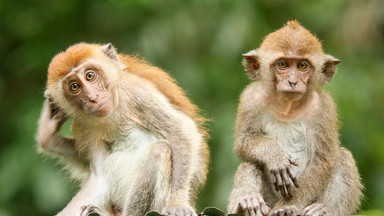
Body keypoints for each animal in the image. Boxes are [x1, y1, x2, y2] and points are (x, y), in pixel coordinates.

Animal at [35, 43, 208, 215]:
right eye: (74, 86)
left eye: (90, 76)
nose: (92, 97)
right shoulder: (86, 127)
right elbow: (98, 176)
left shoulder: (137, 92)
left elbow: (180, 131)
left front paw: (177, 204)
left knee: (160, 150)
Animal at [228, 20, 364, 216]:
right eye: (283, 64)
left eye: (302, 66)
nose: (293, 82)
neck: (288, 107)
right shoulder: (251, 99)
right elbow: (244, 141)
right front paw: (274, 154)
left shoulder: (323, 107)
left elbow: (323, 159)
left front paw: (284, 209)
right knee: (250, 163)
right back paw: (246, 203)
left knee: (343, 157)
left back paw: (323, 210)